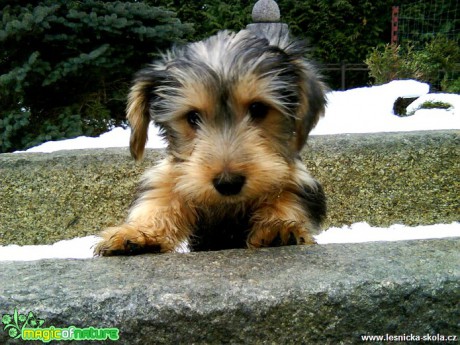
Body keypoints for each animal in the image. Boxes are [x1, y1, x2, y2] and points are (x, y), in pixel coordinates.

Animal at [95, 28, 328, 255]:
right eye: (192, 117)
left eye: (258, 109)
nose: (228, 183)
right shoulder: (172, 177)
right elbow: (159, 201)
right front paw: (140, 233)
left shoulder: (295, 178)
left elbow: (287, 197)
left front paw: (278, 227)